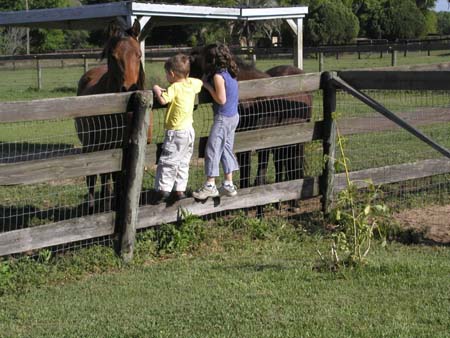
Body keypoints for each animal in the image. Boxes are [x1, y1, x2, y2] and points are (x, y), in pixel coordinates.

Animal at [75, 19, 146, 210]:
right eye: (113, 56)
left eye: (138, 55)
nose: (129, 88)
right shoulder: (110, 148)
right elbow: (106, 177)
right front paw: (108, 204)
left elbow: (121, 178)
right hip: (92, 145)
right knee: (93, 176)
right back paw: (93, 204)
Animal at [188, 47, 312, 189]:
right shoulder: (243, 141)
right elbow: (245, 172)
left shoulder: (263, 142)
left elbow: (260, 174)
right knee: (281, 163)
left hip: (296, 140)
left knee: (293, 165)